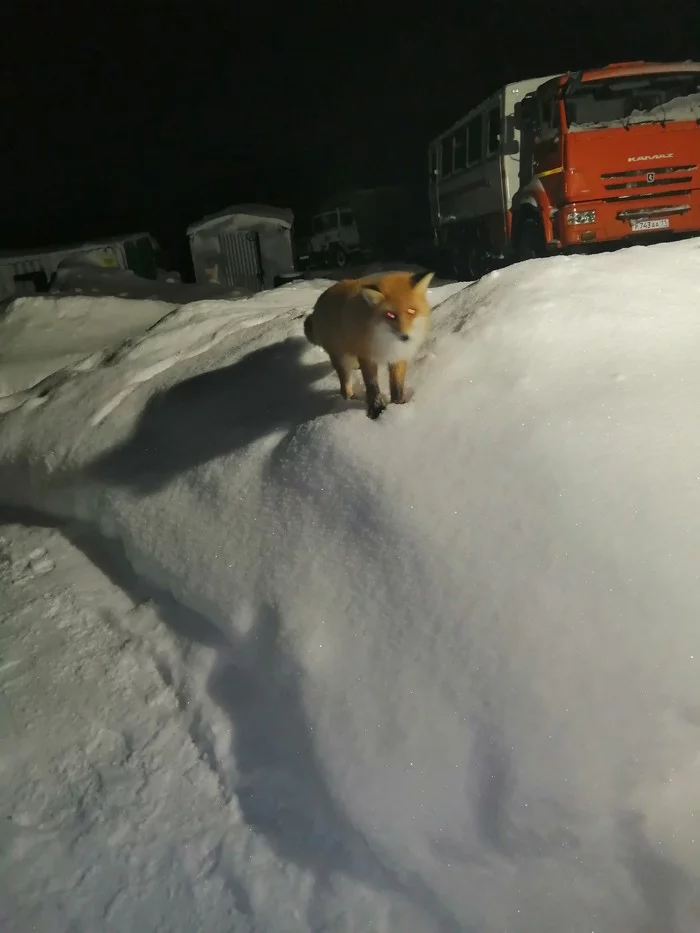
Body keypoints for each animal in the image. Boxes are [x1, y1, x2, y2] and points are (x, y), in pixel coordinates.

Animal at [304, 268, 434, 416]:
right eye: (390, 315)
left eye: (411, 311)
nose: (405, 337)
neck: (386, 341)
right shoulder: (367, 356)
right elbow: (372, 386)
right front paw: (376, 410)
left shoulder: (398, 356)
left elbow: (397, 385)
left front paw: (398, 406)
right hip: (341, 358)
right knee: (344, 383)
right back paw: (349, 398)